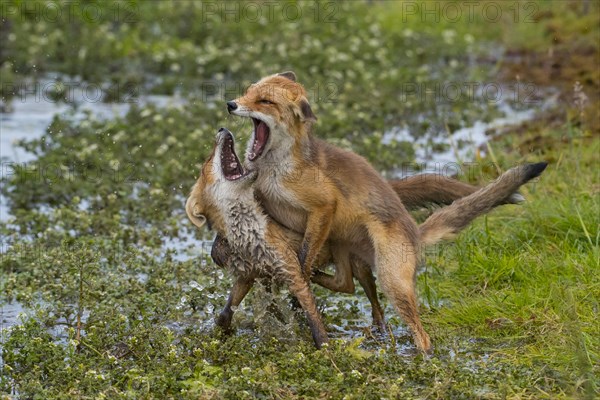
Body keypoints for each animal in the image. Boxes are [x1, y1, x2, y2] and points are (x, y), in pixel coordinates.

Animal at [226, 72, 548, 354]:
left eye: (265, 101)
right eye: (249, 92)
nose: (230, 104)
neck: (272, 173)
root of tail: (415, 231)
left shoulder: (324, 205)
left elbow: (304, 257)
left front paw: (298, 282)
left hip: (392, 279)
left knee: (418, 332)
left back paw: (423, 358)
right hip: (353, 256)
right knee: (348, 286)